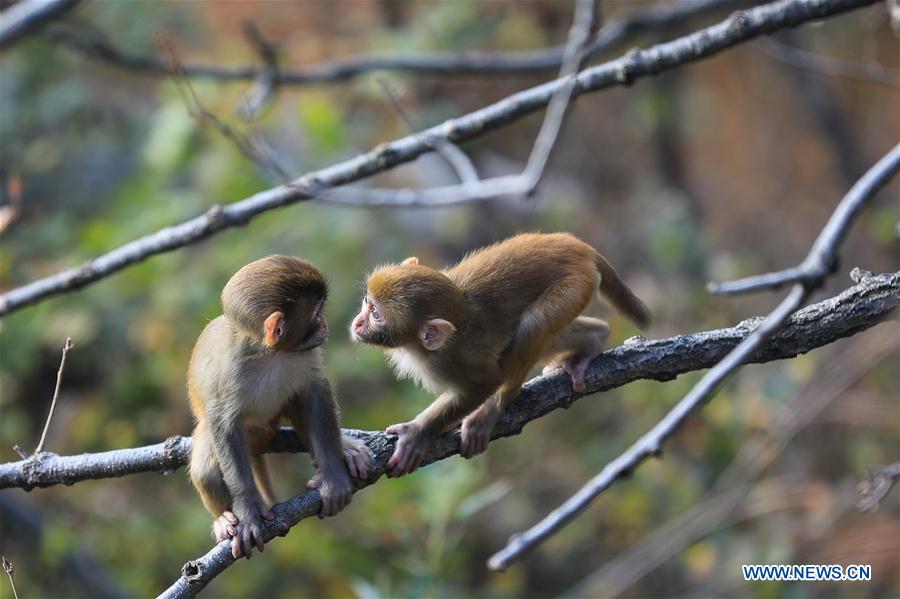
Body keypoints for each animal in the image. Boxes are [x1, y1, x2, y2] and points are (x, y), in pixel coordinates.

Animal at [188, 255, 370, 560]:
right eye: (316, 311)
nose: (324, 322)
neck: (271, 352)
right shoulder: (231, 369)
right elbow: (221, 421)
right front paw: (247, 510)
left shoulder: (304, 353)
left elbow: (314, 389)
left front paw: (332, 475)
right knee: (207, 471)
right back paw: (223, 519)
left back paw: (341, 449)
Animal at [348, 233, 652, 478]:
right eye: (367, 303)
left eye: (376, 315)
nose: (358, 323)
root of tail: (574, 244)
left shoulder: (452, 359)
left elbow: (487, 381)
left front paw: (418, 433)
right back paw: (595, 338)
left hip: (576, 285)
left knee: (533, 325)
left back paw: (495, 406)